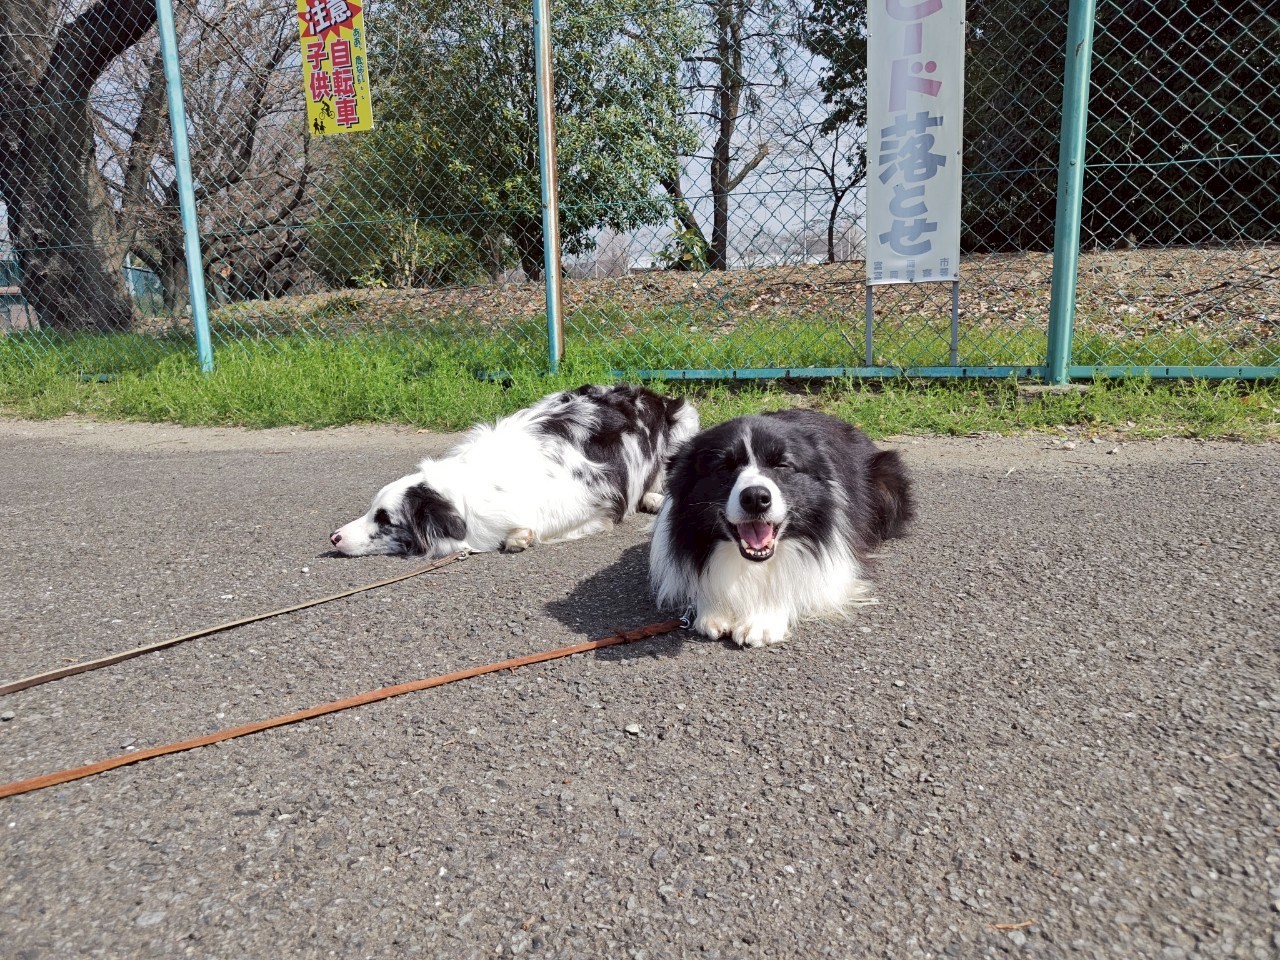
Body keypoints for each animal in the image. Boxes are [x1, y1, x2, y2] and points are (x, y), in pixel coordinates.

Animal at [330, 384, 699, 558]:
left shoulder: (597, 503)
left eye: (385, 520)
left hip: (686, 421)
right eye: (370, 510)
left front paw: (519, 537)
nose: (333, 537)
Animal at [649, 409, 914, 648]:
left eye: (782, 465)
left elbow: (798, 580)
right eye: (723, 468)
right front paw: (715, 608)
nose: (755, 498)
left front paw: (763, 618)